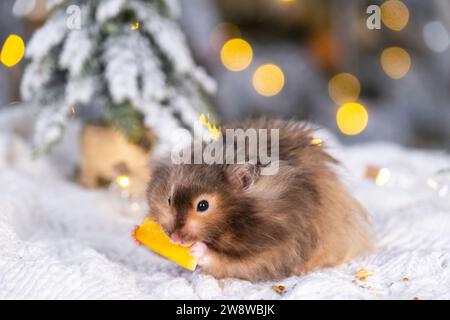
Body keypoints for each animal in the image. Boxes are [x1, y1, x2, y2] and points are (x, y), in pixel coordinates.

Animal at [146, 119, 370, 282]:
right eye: (169, 200)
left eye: (203, 205)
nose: (174, 239)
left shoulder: (274, 248)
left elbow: (228, 261)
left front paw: (197, 249)